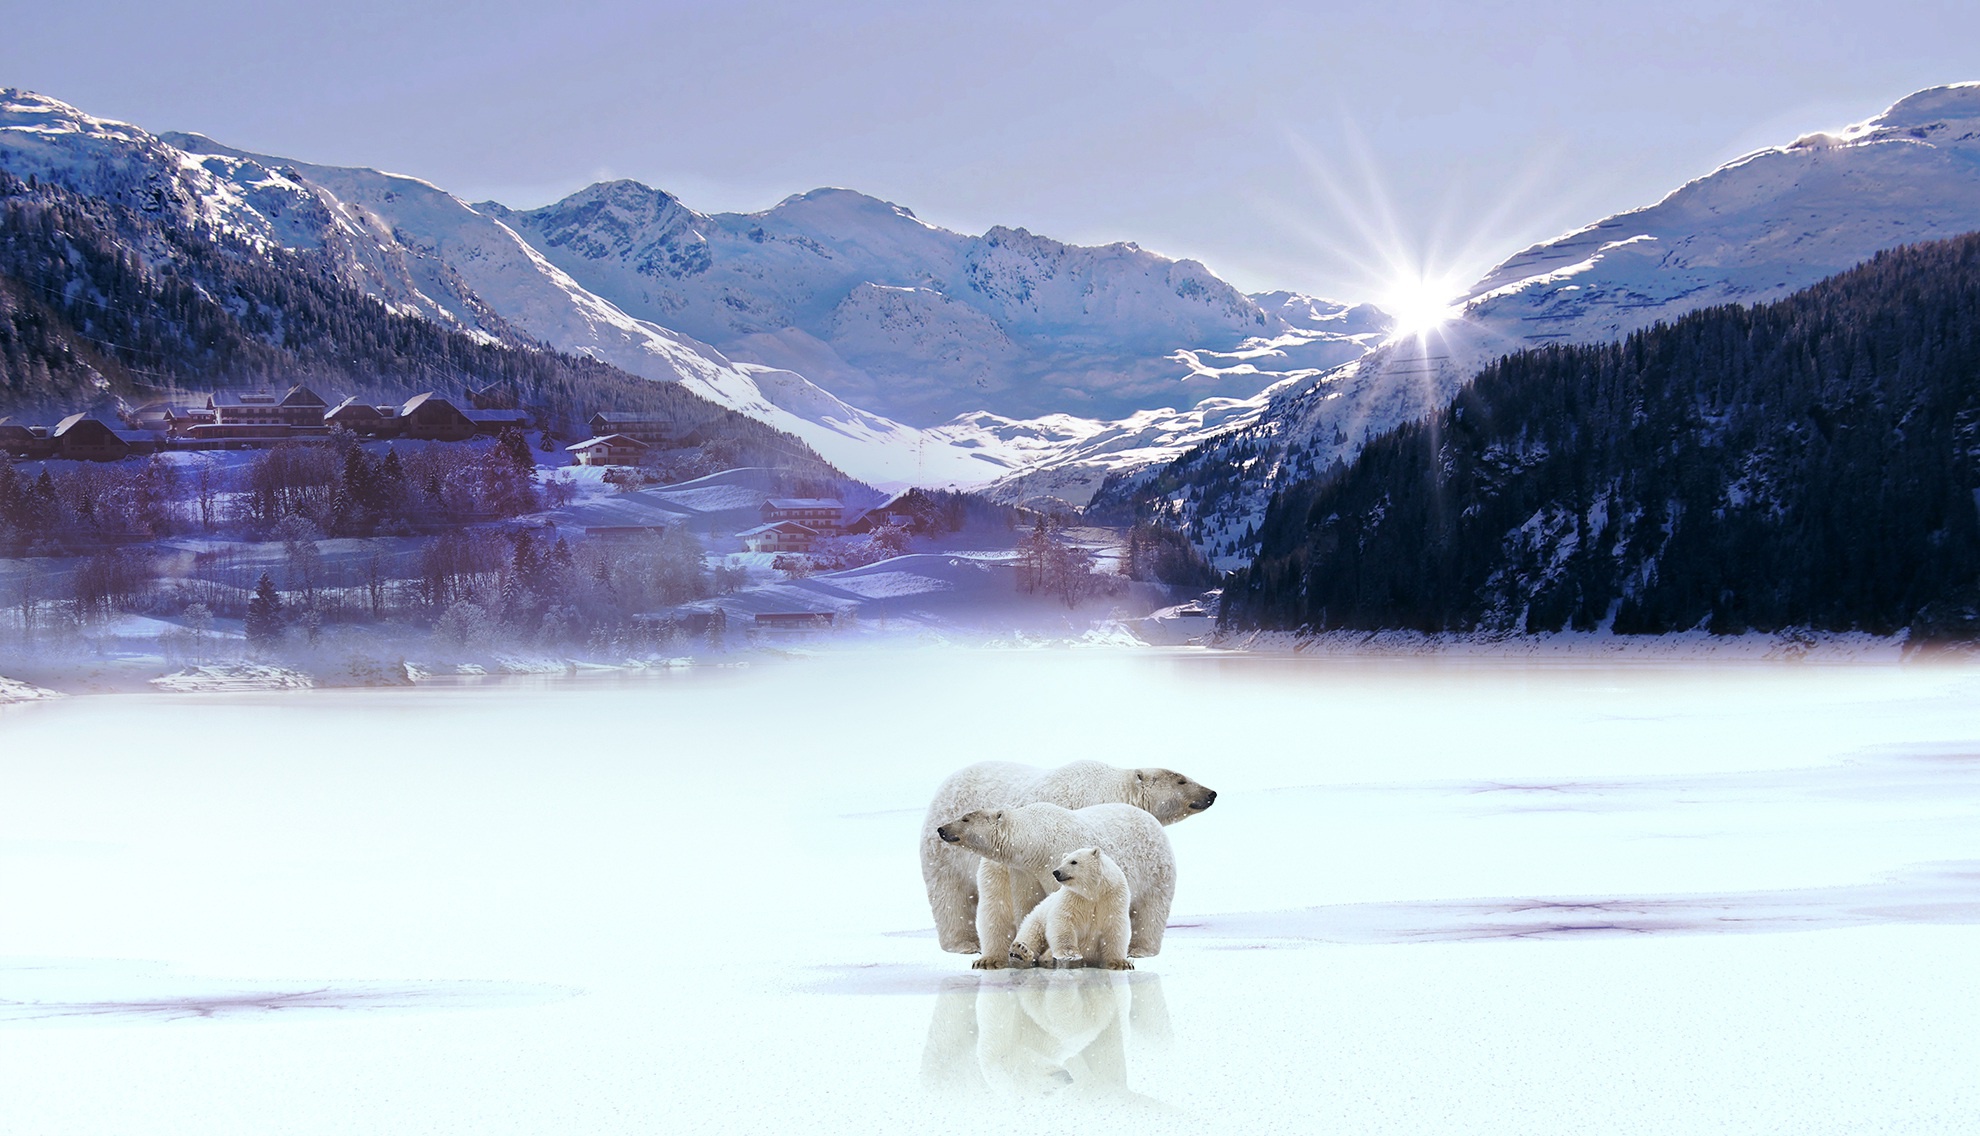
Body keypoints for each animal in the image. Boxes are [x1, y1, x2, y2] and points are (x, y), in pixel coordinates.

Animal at [936, 801, 1175, 965]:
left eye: (966, 818)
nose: (942, 829)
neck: (1036, 843)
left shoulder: (1055, 861)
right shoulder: (1023, 872)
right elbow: (1027, 906)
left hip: (1155, 872)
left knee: (1150, 911)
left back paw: (1139, 949)